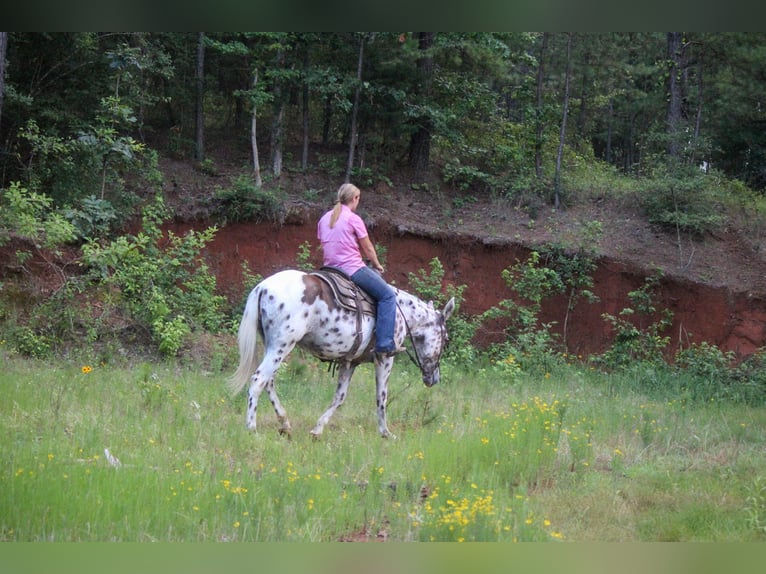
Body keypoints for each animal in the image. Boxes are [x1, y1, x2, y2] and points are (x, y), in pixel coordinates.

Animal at [228, 268, 456, 436]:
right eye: (445, 340)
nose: (434, 378)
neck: (401, 312)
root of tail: (262, 288)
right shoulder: (384, 358)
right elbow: (381, 396)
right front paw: (385, 433)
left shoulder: (349, 361)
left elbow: (340, 397)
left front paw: (317, 429)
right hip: (281, 345)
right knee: (258, 380)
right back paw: (252, 429)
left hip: (273, 346)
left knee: (269, 382)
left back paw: (284, 423)